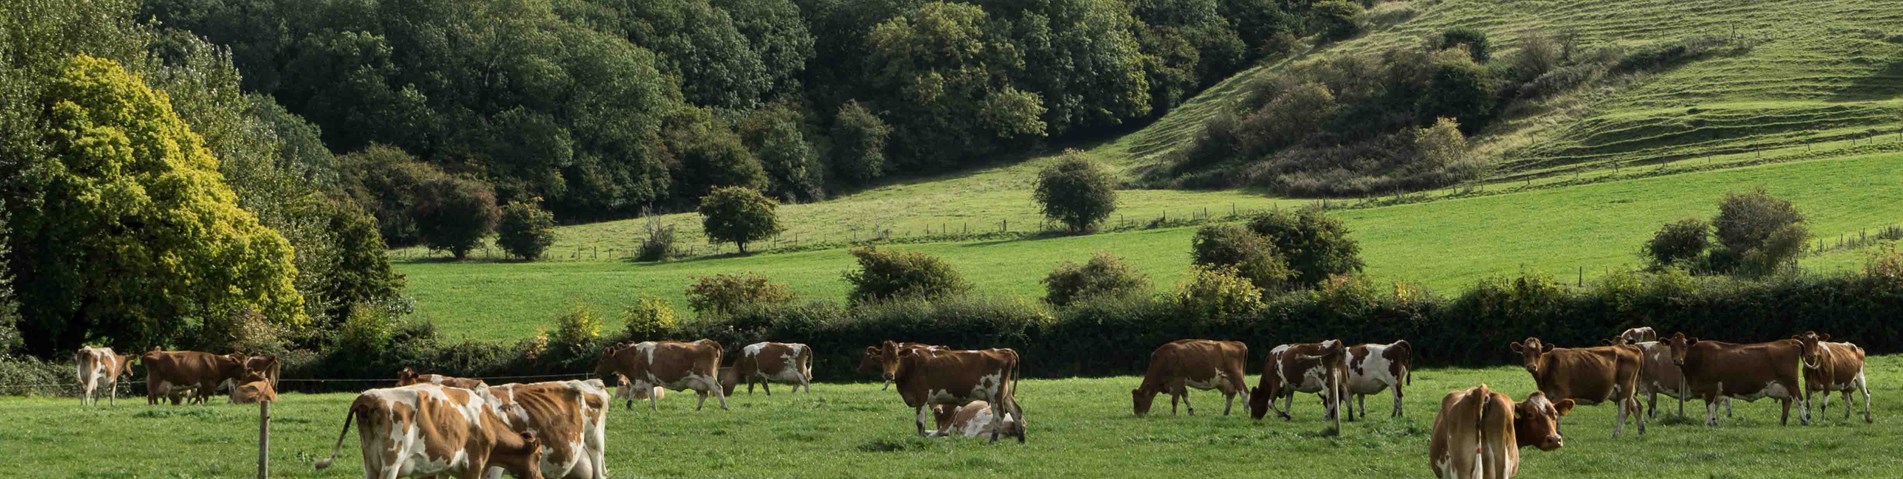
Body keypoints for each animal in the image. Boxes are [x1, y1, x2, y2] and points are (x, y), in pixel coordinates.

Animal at [313, 383, 544, 479]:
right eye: (539, 455)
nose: (540, 477)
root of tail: (367, 396)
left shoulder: (444, 468)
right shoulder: (474, 464)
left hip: (370, 461)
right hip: (392, 461)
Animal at [594, 340, 728, 411]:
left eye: (603, 359)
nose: (596, 372)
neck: (633, 357)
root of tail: (709, 342)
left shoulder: (647, 381)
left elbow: (651, 396)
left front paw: (654, 409)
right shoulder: (638, 380)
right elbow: (632, 391)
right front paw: (629, 406)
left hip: (707, 377)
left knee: (718, 388)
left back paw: (724, 407)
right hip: (699, 382)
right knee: (704, 394)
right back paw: (697, 409)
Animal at [891, 347, 1025, 443]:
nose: (937, 410)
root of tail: (1006, 351)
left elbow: (927, 429)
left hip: (991, 400)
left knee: (970, 434)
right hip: (1006, 394)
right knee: (1016, 410)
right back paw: (1021, 439)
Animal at [1509, 337, 1644, 437]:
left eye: (1539, 354)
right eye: (1524, 353)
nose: (1531, 367)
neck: (1549, 366)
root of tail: (1630, 347)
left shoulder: (1561, 394)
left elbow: (1557, 412)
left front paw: (1558, 433)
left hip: (1625, 387)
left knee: (1625, 411)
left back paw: (1616, 434)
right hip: (1626, 391)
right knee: (1637, 406)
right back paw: (1641, 430)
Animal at [1657, 332, 1808, 426]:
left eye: (1684, 346)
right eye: (1671, 346)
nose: (1678, 360)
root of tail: (1790, 341)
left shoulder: (1710, 387)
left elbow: (1709, 406)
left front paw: (1709, 423)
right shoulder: (1716, 390)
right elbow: (1714, 407)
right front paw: (1713, 421)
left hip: (1791, 382)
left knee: (1799, 399)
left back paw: (1805, 420)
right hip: (1782, 386)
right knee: (1787, 401)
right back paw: (1782, 422)